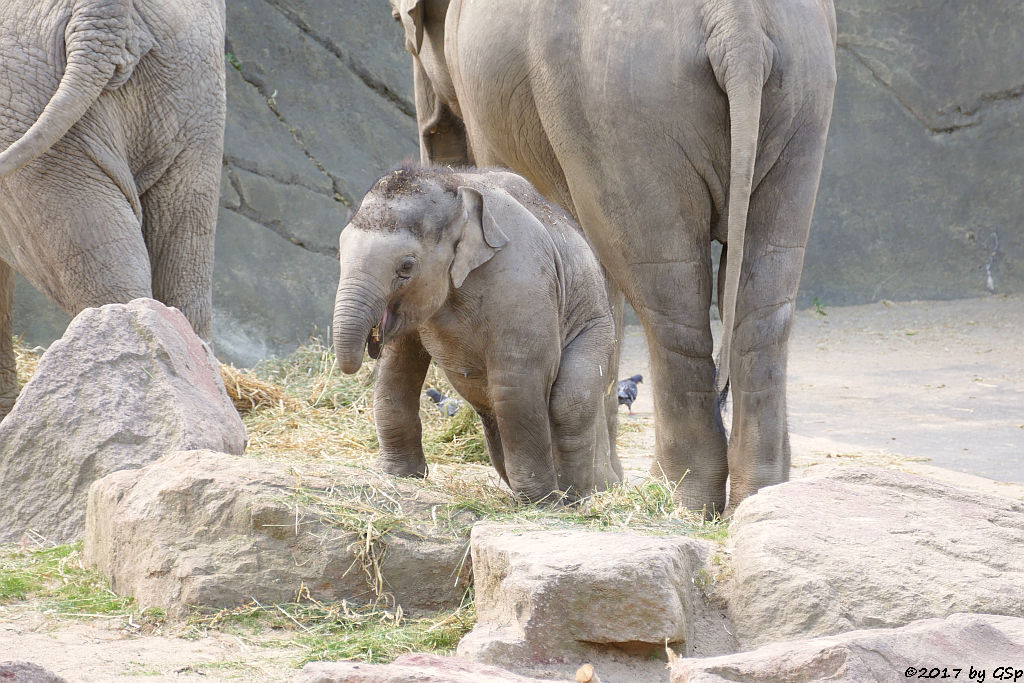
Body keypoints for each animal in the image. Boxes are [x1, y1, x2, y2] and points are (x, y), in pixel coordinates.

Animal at [335, 162, 618, 499]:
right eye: (340, 255)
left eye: (406, 266)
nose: (373, 340)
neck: (454, 185)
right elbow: (397, 369)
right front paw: (398, 476)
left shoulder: (520, 277)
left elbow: (518, 377)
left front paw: (541, 501)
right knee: (492, 410)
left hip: (598, 326)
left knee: (569, 400)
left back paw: (574, 496)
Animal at [387, 0, 835, 511]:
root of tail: (735, 23)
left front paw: (595, 485)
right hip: (803, 95)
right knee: (764, 298)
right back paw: (758, 496)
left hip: (618, 104)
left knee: (665, 295)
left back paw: (676, 494)